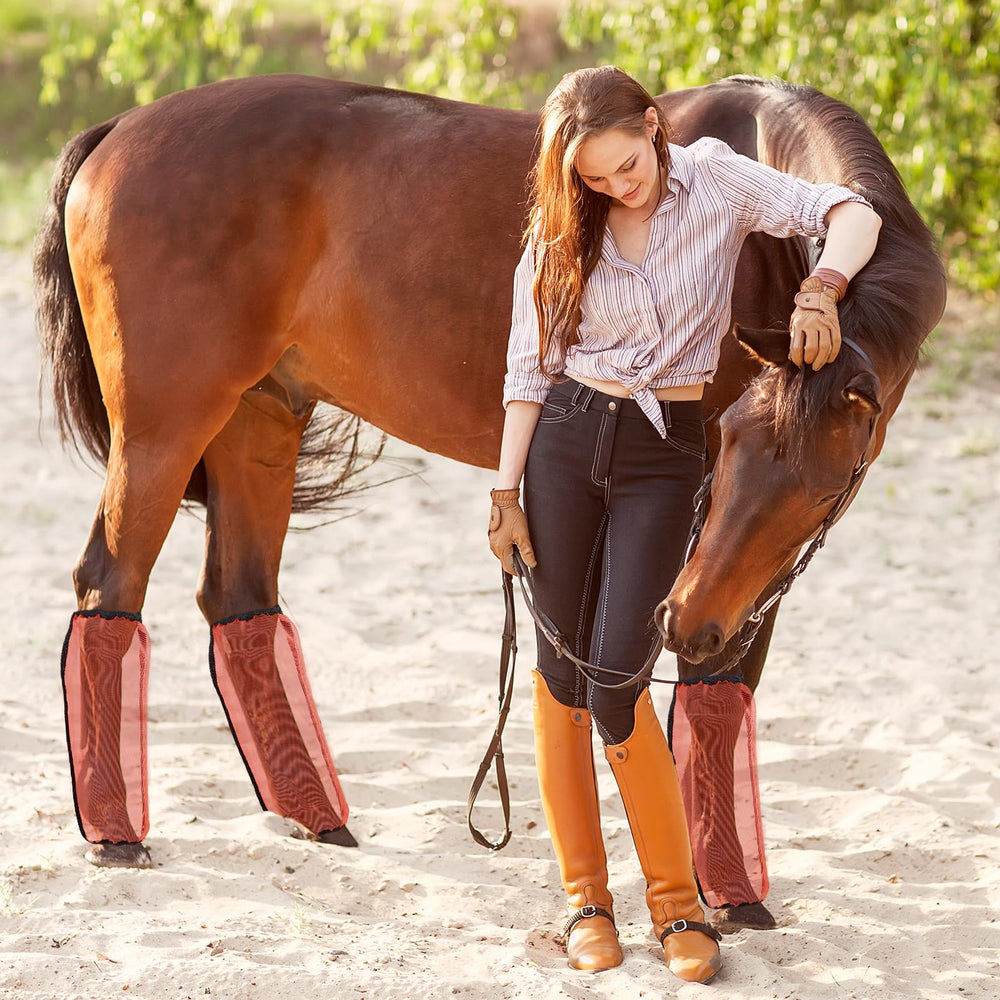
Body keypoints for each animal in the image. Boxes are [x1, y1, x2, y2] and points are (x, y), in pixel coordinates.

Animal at [35, 74, 945, 929]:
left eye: (824, 487)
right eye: (727, 450)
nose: (685, 620)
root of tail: (119, 129)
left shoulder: (740, 576)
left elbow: (715, 686)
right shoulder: (702, 542)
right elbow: (686, 679)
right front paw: (722, 889)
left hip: (260, 416)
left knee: (238, 596)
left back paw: (316, 816)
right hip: (164, 433)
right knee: (109, 584)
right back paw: (116, 834)